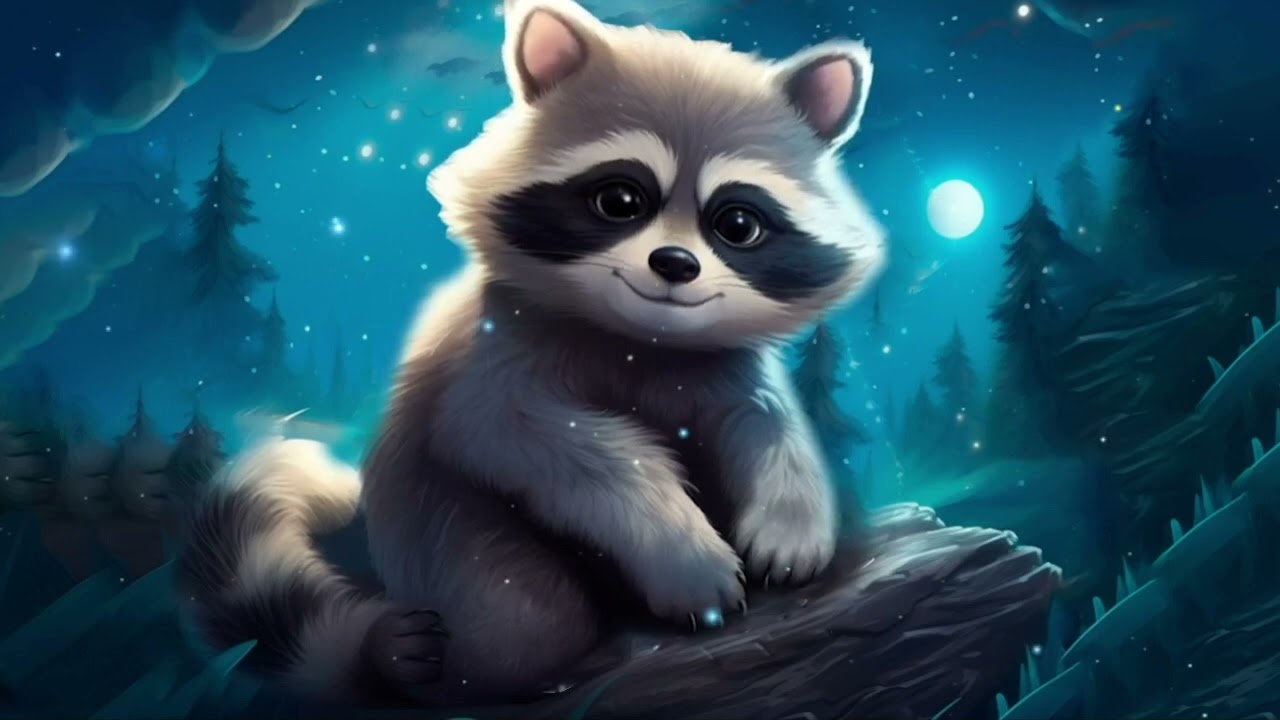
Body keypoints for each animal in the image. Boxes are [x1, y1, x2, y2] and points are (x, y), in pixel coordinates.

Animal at [177, 0, 886, 707]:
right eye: (619, 200)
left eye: (738, 224)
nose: (675, 264)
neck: (646, 338)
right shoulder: (494, 356)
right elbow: (540, 440)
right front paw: (682, 548)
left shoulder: (728, 366)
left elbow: (770, 427)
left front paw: (791, 519)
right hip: (454, 546)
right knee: (520, 622)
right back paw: (393, 658)